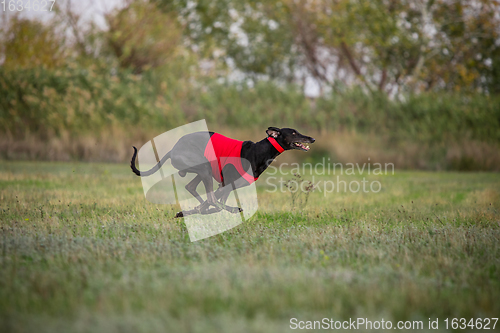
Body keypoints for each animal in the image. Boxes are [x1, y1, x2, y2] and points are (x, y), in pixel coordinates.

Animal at [131, 126, 314, 217]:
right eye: (293, 133)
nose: (311, 138)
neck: (258, 151)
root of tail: (173, 149)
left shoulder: (229, 185)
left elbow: (212, 204)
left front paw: (190, 212)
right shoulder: (226, 183)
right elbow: (213, 201)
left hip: (203, 171)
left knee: (192, 188)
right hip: (204, 168)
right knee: (209, 197)